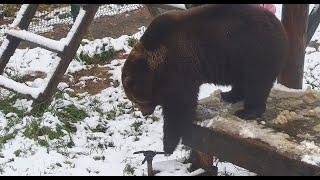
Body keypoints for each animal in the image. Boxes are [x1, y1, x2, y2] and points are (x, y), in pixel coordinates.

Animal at [121, 4, 288, 154]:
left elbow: (179, 106)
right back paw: (229, 95)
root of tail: (279, 25)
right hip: (238, 58)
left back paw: (247, 111)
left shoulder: (179, 68)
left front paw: (168, 144)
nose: (145, 113)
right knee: (243, 80)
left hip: (256, 51)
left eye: (137, 100)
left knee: (256, 84)